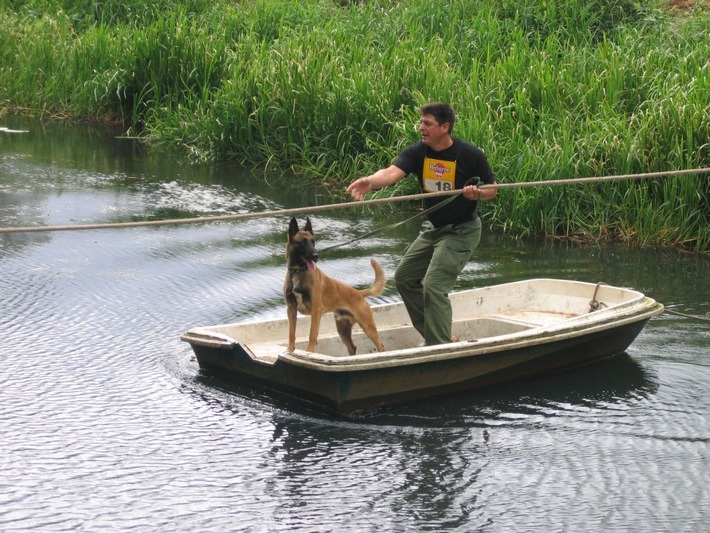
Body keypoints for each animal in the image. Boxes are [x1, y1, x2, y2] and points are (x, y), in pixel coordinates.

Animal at [286, 216, 386, 354]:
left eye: (313, 241)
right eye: (302, 242)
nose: (316, 256)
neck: (298, 272)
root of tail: (359, 293)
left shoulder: (316, 310)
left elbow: (312, 335)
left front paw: (309, 352)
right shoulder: (291, 308)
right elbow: (291, 333)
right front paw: (289, 350)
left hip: (367, 326)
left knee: (381, 345)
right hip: (343, 329)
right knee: (352, 347)